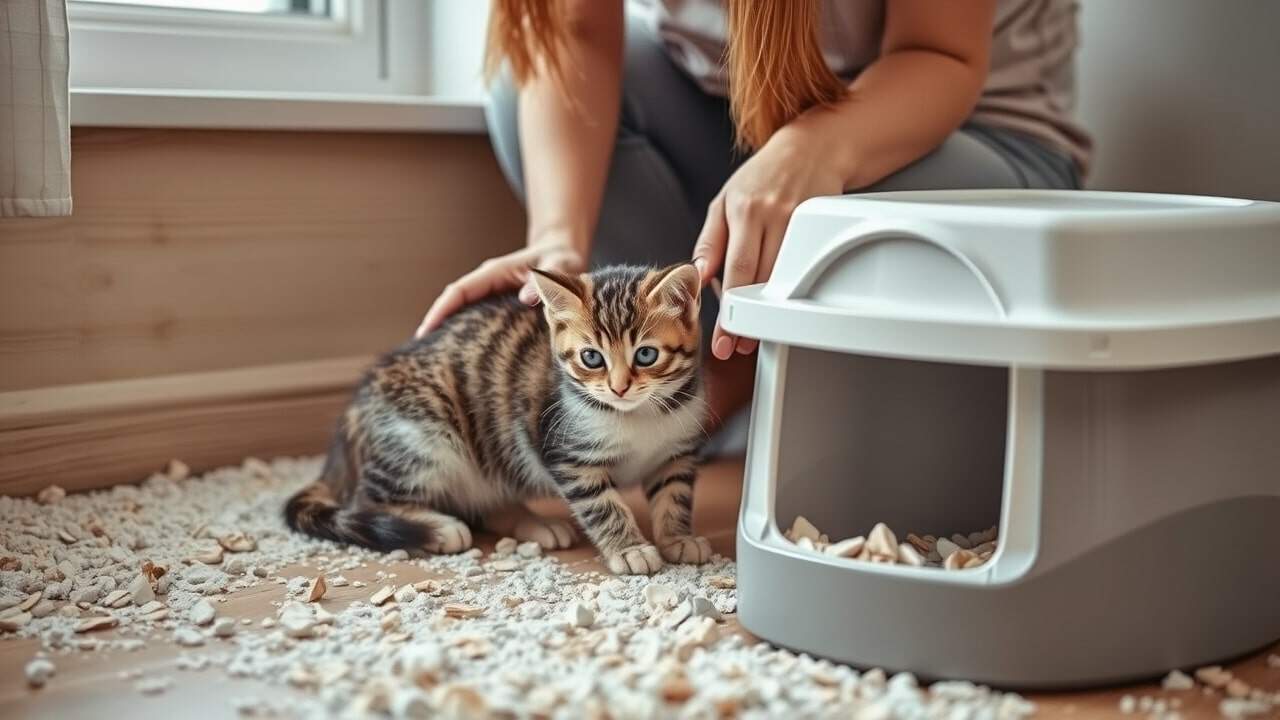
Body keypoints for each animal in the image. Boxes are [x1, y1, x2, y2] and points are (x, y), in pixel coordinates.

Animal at [282, 263, 711, 571]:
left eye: (646, 355)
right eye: (592, 358)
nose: (619, 388)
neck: (638, 415)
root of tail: (351, 416)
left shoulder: (675, 453)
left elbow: (674, 495)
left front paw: (676, 538)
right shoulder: (564, 452)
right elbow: (603, 505)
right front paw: (629, 548)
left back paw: (534, 523)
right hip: (422, 441)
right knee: (366, 500)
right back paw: (438, 528)